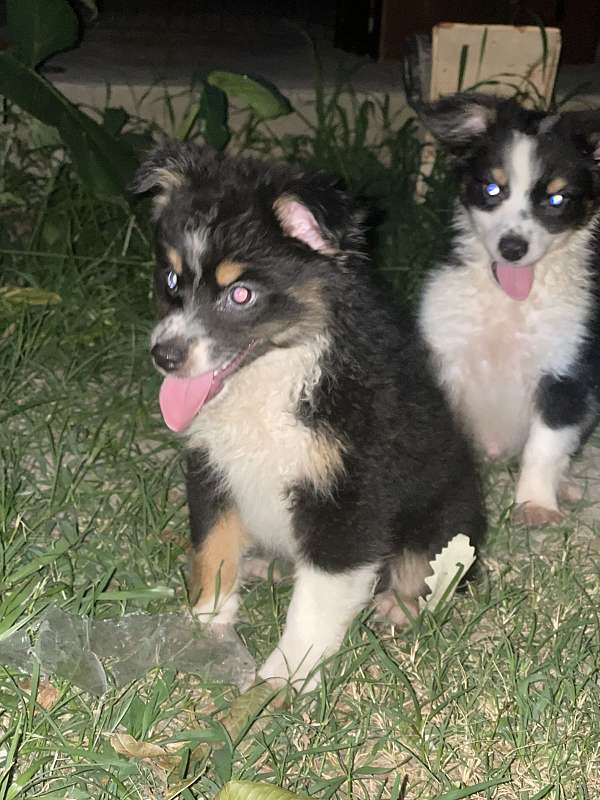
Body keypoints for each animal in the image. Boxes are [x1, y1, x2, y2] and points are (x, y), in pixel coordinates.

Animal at [134, 145, 486, 692]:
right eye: (171, 279)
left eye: (241, 295)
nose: (164, 356)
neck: (284, 369)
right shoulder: (211, 466)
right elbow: (212, 545)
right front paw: (205, 621)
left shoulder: (349, 492)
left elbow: (319, 595)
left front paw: (286, 674)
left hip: (447, 517)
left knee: (425, 567)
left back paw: (399, 607)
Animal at [418, 94, 600, 528]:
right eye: (491, 188)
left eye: (556, 199)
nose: (512, 248)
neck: (509, 303)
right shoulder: (444, 357)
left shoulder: (565, 375)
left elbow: (545, 445)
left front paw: (535, 504)